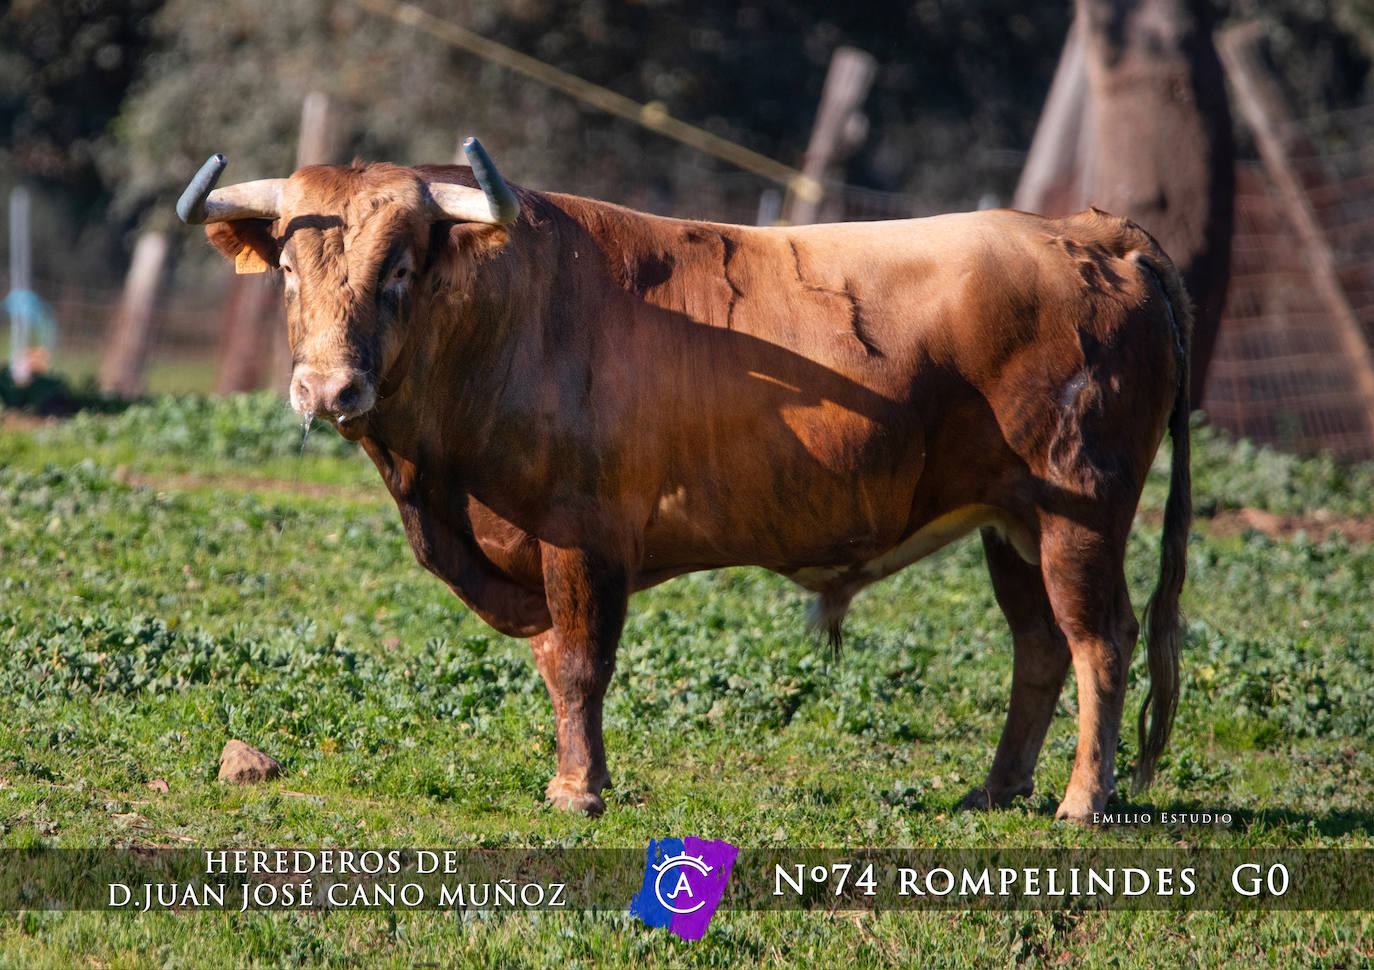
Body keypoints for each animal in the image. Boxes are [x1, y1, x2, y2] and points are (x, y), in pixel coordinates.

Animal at [177, 136, 1192, 813]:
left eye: (398, 268)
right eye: (290, 271)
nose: (327, 387)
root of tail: (1089, 232)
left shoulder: (581, 536)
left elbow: (580, 664)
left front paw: (578, 791)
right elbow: (556, 665)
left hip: (1079, 515)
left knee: (1101, 642)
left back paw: (1080, 801)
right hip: (1008, 523)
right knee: (1041, 647)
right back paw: (996, 790)